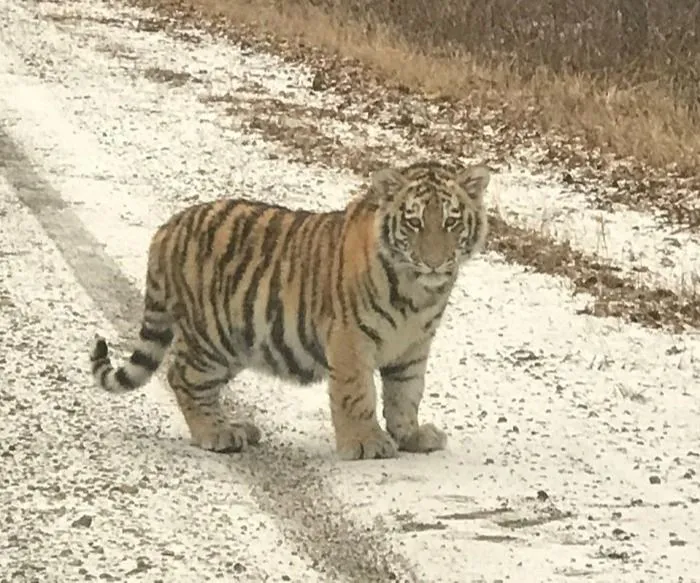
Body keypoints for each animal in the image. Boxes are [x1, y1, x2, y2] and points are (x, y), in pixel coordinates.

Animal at [89, 160, 492, 460]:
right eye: (414, 222)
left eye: (451, 221)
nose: (435, 263)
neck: (418, 294)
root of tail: (167, 229)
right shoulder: (350, 340)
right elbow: (357, 393)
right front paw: (366, 443)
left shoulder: (413, 346)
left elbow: (406, 393)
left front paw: (411, 435)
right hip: (212, 336)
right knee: (183, 377)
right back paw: (217, 433)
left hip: (236, 341)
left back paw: (236, 427)